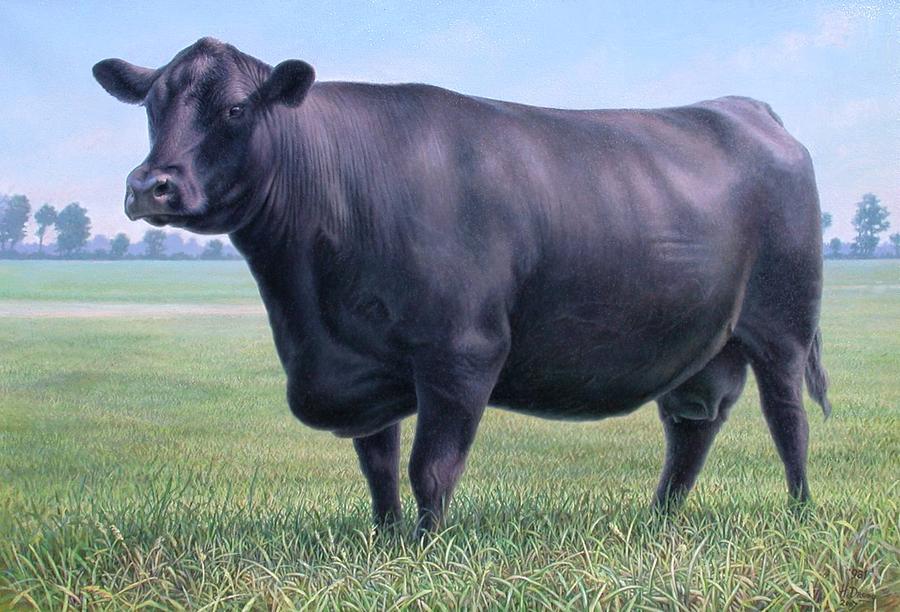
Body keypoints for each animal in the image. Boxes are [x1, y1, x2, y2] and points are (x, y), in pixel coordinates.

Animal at [93, 38, 831, 533]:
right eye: (152, 106)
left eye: (236, 110)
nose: (151, 185)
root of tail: (744, 109)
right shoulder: (360, 363)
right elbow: (378, 465)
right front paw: (386, 541)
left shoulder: (462, 351)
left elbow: (431, 467)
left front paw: (424, 550)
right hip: (706, 342)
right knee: (692, 426)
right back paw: (659, 519)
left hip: (781, 325)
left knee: (787, 419)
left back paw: (799, 510)